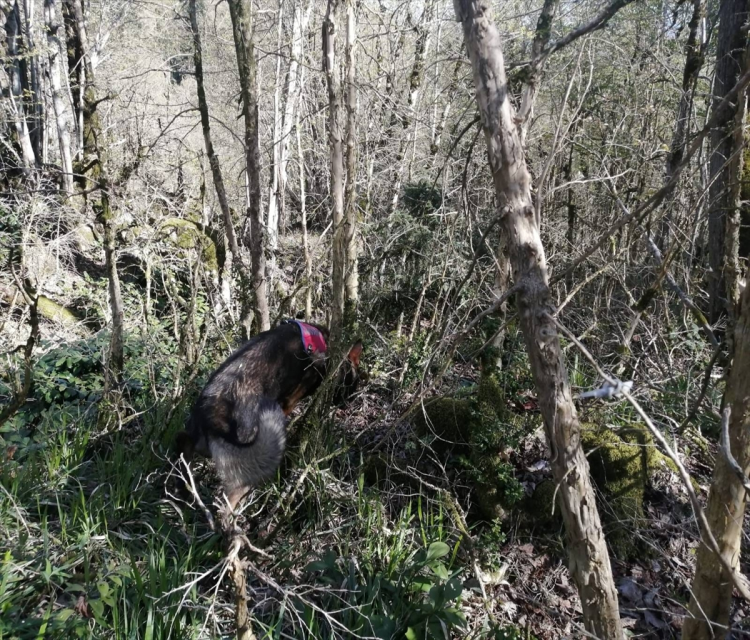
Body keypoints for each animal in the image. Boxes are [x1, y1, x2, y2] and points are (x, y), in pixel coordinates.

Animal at [177, 320, 364, 510]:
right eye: (356, 382)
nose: (348, 403)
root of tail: (209, 414)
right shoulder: (288, 403)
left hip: (197, 444)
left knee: (183, 444)